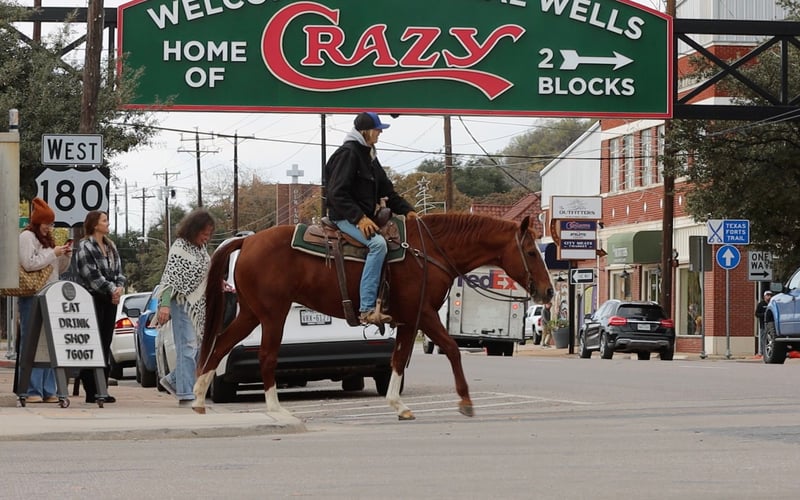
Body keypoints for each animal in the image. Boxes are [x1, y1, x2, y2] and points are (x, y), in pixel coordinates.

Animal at [192, 213, 554, 420]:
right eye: (532, 252)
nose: (549, 292)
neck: (427, 252)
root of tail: (248, 241)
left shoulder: (409, 319)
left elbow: (398, 359)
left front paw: (398, 405)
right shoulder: (425, 314)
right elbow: (451, 348)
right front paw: (465, 400)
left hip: (253, 313)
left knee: (220, 344)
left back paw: (198, 398)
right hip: (272, 314)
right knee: (266, 355)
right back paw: (275, 409)